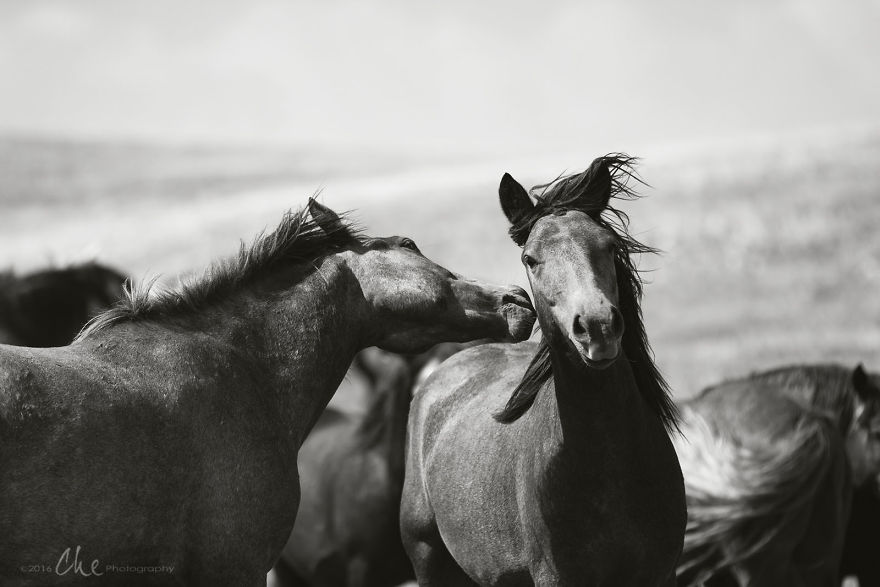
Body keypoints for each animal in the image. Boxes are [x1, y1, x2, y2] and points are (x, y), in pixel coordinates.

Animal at [401, 155, 686, 586]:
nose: (598, 327)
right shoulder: (556, 576)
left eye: (608, 245)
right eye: (530, 259)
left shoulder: (661, 573)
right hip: (428, 558)